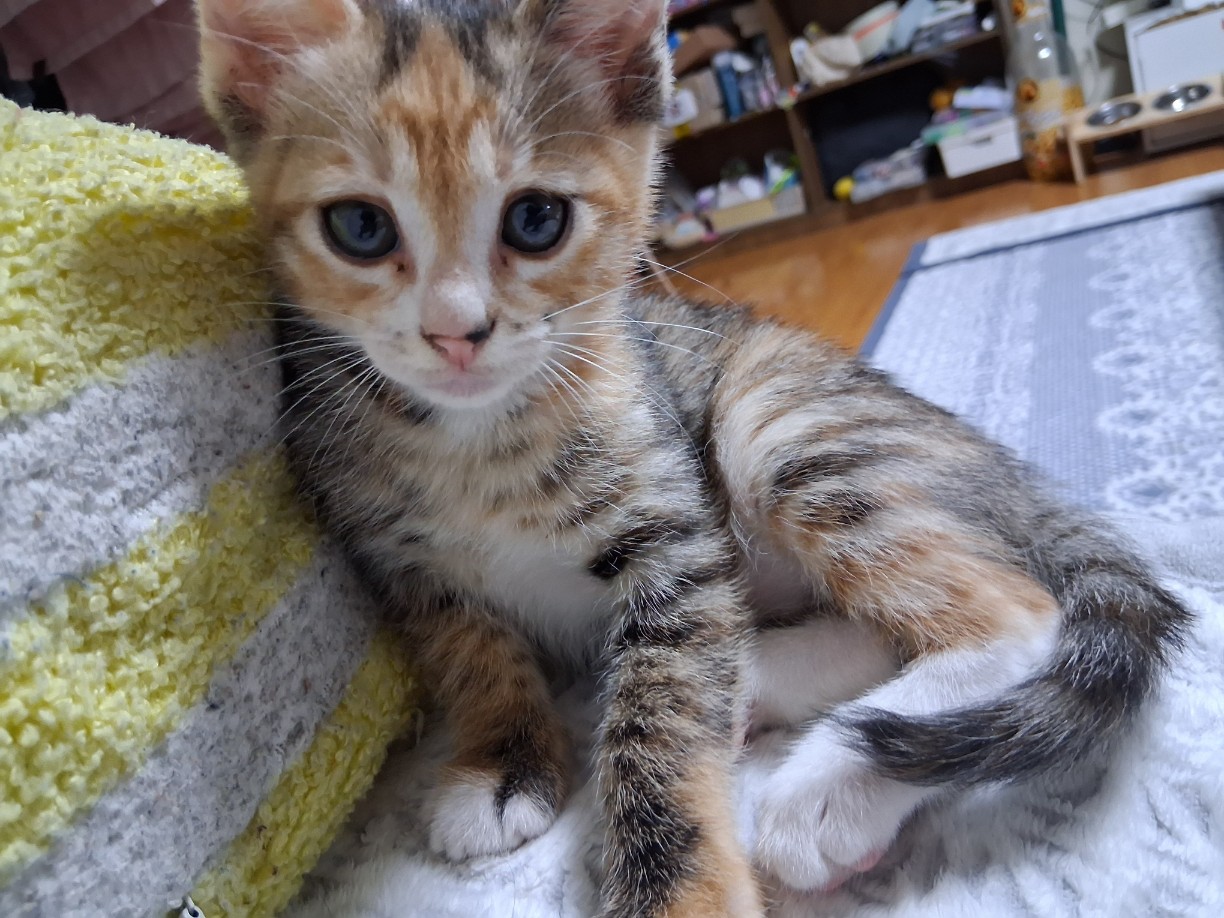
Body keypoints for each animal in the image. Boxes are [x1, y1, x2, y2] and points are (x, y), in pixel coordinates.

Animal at [197, 0, 1190, 915]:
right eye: (360, 229)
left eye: (536, 220)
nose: (456, 333)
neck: (473, 439)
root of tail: (993, 458)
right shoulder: (398, 562)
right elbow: (472, 654)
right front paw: (500, 761)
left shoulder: (674, 537)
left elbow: (661, 728)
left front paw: (673, 886)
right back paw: (760, 687)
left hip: (772, 421)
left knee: (1018, 616)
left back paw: (826, 787)